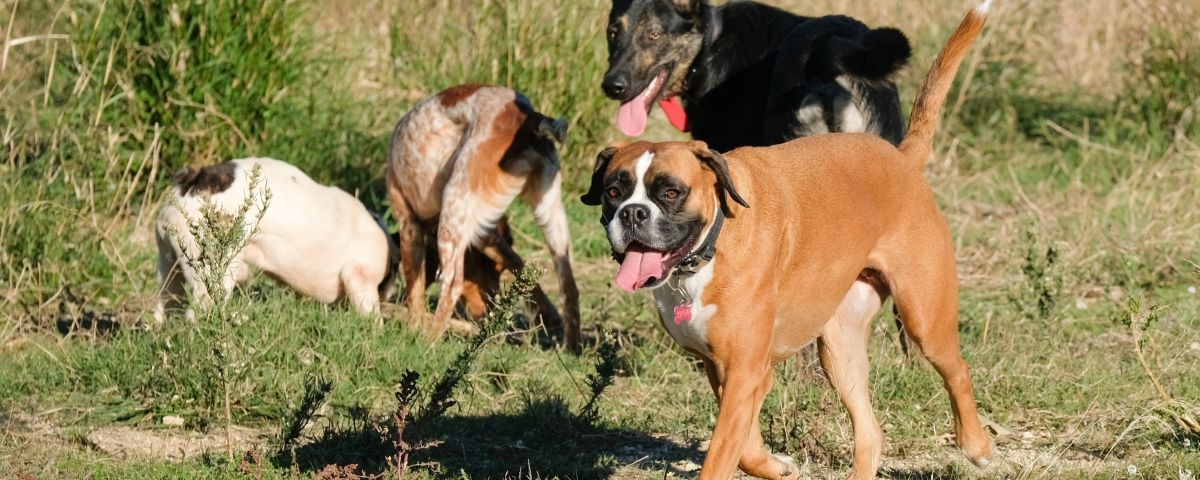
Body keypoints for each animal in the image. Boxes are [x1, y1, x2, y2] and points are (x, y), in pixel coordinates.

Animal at [152, 158, 398, 321]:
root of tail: (193, 182)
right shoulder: (360, 280)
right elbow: (373, 318)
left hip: (168, 272)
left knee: (163, 308)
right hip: (212, 280)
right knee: (194, 316)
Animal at [388, 84, 580, 350]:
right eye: (495, 271)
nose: (490, 315)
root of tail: (529, 117)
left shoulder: (409, 225)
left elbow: (414, 293)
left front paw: (413, 331)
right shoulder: (484, 233)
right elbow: (518, 263)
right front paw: (547, 314)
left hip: (454, 205)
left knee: (452, 285)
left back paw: (429, 342)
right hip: (550, 216)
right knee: (569, 285)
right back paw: (572, 347)